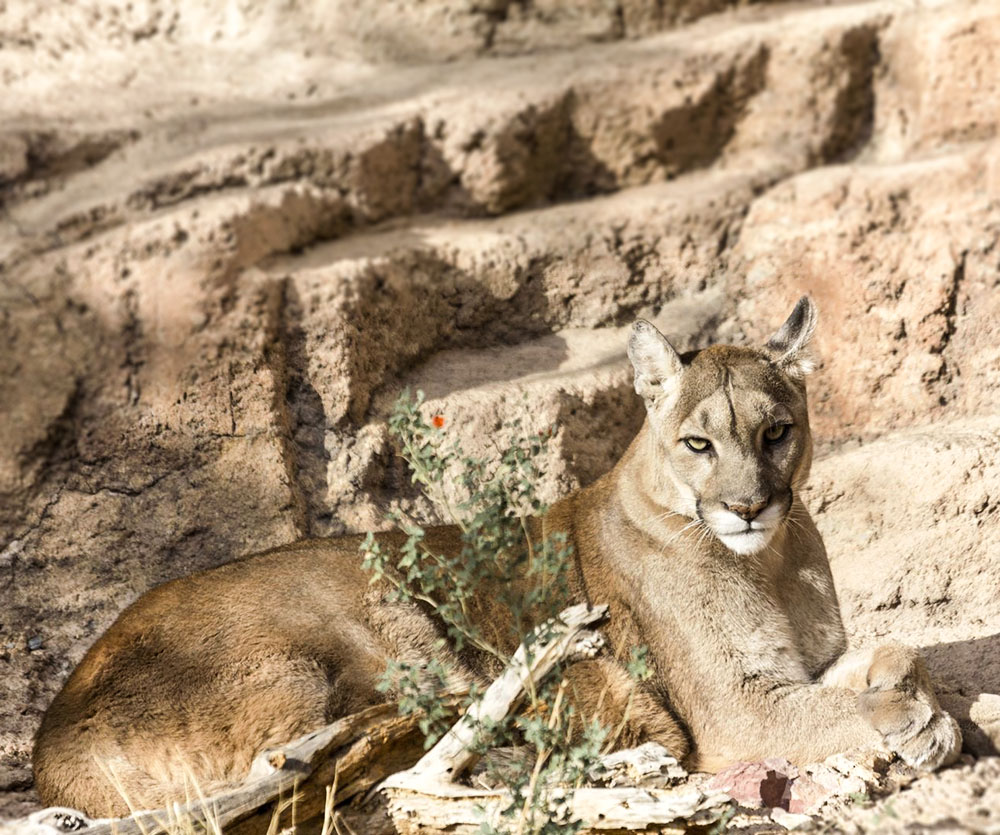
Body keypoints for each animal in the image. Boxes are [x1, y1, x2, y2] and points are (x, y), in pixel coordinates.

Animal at [33, 298, 960, 816]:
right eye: (699, 442)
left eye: (776, 432)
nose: (748, 506)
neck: (772, 560)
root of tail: (49, 740)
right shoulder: (740, 706)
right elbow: (840, 710)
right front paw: (922, 724)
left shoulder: (806, 660)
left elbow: (898, 653)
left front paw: (916, 693)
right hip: (377, 613)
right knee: (340, 762)